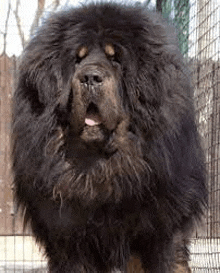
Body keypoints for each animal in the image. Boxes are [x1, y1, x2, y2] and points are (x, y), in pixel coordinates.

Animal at [12, 2, 207, 272]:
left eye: (115, 59)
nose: (90, 77)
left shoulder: (162, 230)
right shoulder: (69, 239)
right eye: (77, 60)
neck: (102, 167)